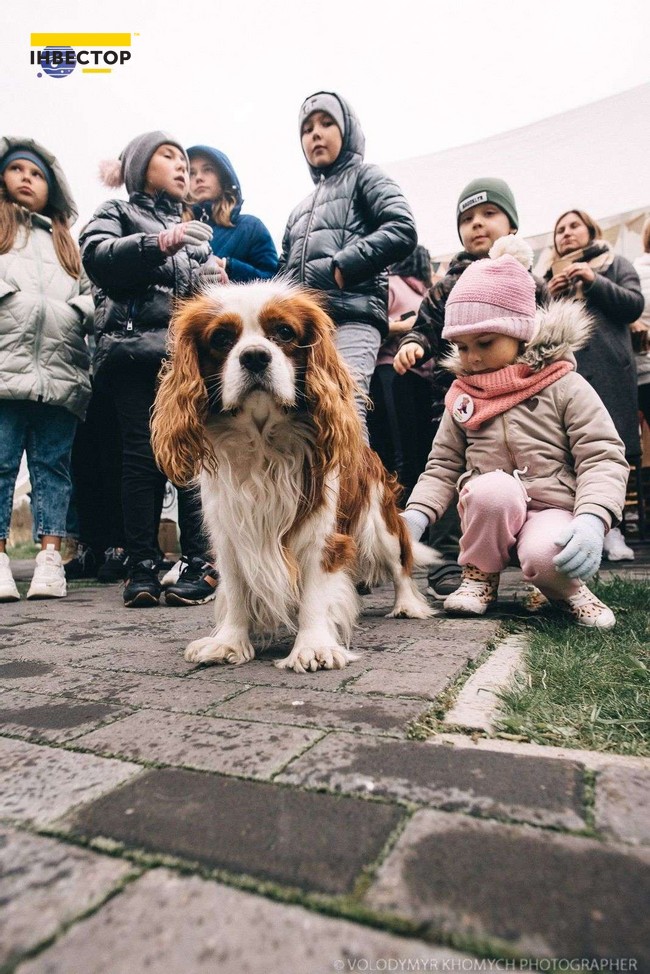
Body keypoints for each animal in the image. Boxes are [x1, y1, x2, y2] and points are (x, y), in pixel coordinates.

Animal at [151, 282, 436, 672]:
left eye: (284, 332)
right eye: (221, 338)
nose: (255, 356)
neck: (262, 442)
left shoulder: (322, 533)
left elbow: (316, 591)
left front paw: (312, 646)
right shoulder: (230, 531)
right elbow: (236, 589)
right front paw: (228, 642)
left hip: (380, 526)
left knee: (399, 565)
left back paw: (406, 605)